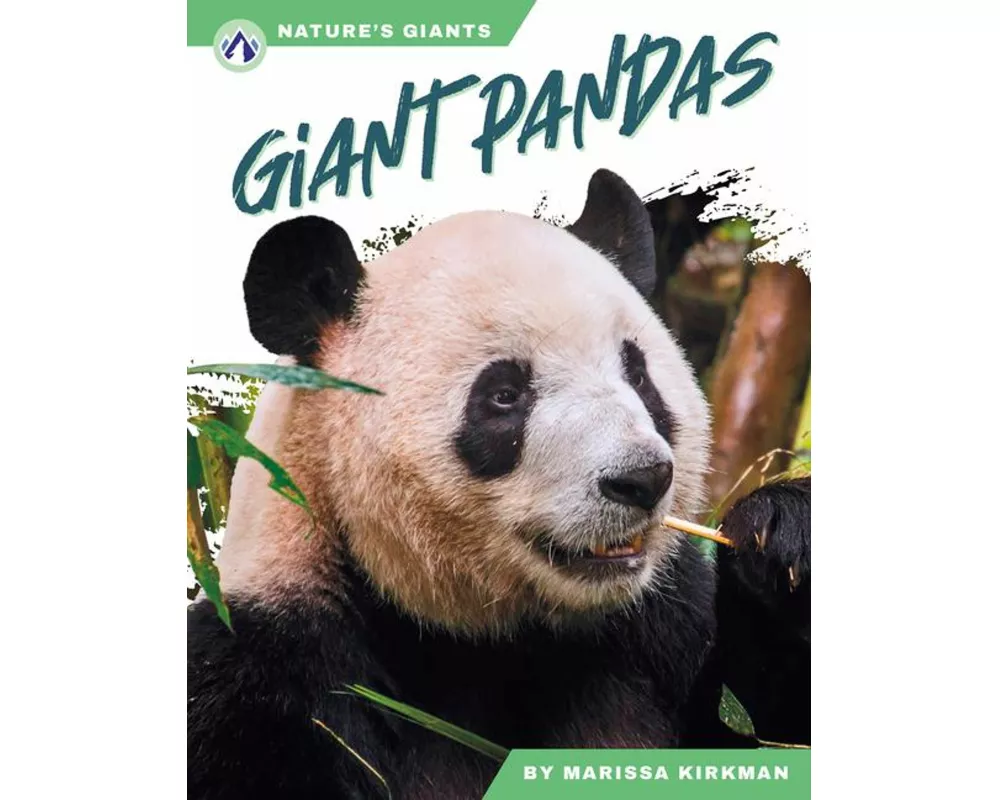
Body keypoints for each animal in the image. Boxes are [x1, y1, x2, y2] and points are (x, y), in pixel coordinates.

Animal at [188, 169, 811, 799]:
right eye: (504, 395)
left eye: (637, 375)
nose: (642, 480)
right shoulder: (269, 675)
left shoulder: (664, 630)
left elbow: (767, 728)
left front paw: (780, 535)